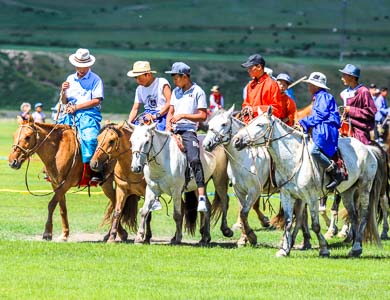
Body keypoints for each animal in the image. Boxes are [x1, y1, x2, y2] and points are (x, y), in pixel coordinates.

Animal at [203, 106, 312, 248]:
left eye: (224, 124)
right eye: (209, 124)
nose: (206, 144)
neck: (245, 158)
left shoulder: (254, 190)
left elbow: (244, 212)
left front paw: (252, 236)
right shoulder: (239, 191)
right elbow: (242, 212)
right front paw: (243, 238)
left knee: (301, 213)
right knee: (302, 213)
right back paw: (306, 241)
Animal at [232, 106, 380, 256]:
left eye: (260, 125)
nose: (236, 141)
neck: (293, 158)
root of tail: (367, 148)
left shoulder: (311, 197)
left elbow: (315, 225)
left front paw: (324, 248)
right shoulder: (287, 195)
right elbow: (288, 222)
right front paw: (284, 250)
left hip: (364, 187)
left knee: (363, 215)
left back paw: (356, 246)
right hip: (347, 192)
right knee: (354, 216)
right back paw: (355, 247)